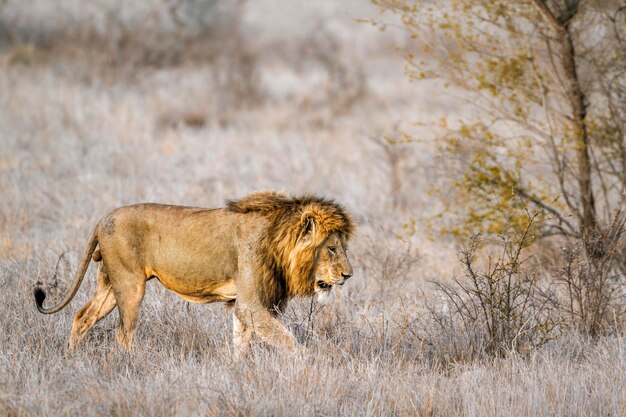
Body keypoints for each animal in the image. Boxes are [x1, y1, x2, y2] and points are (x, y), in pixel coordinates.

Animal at [34, 190, 354, 352]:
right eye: (332, 249)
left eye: (341, 247)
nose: (348, 275)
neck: (277, 240)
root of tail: (103, 218)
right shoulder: (251, 303)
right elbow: (288, 340)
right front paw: (306, 367)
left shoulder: (242, 305)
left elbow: (241, 342)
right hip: (130, 285)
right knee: (124, 334)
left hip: (110, 284)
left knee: (82, 316)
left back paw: (71, 358)